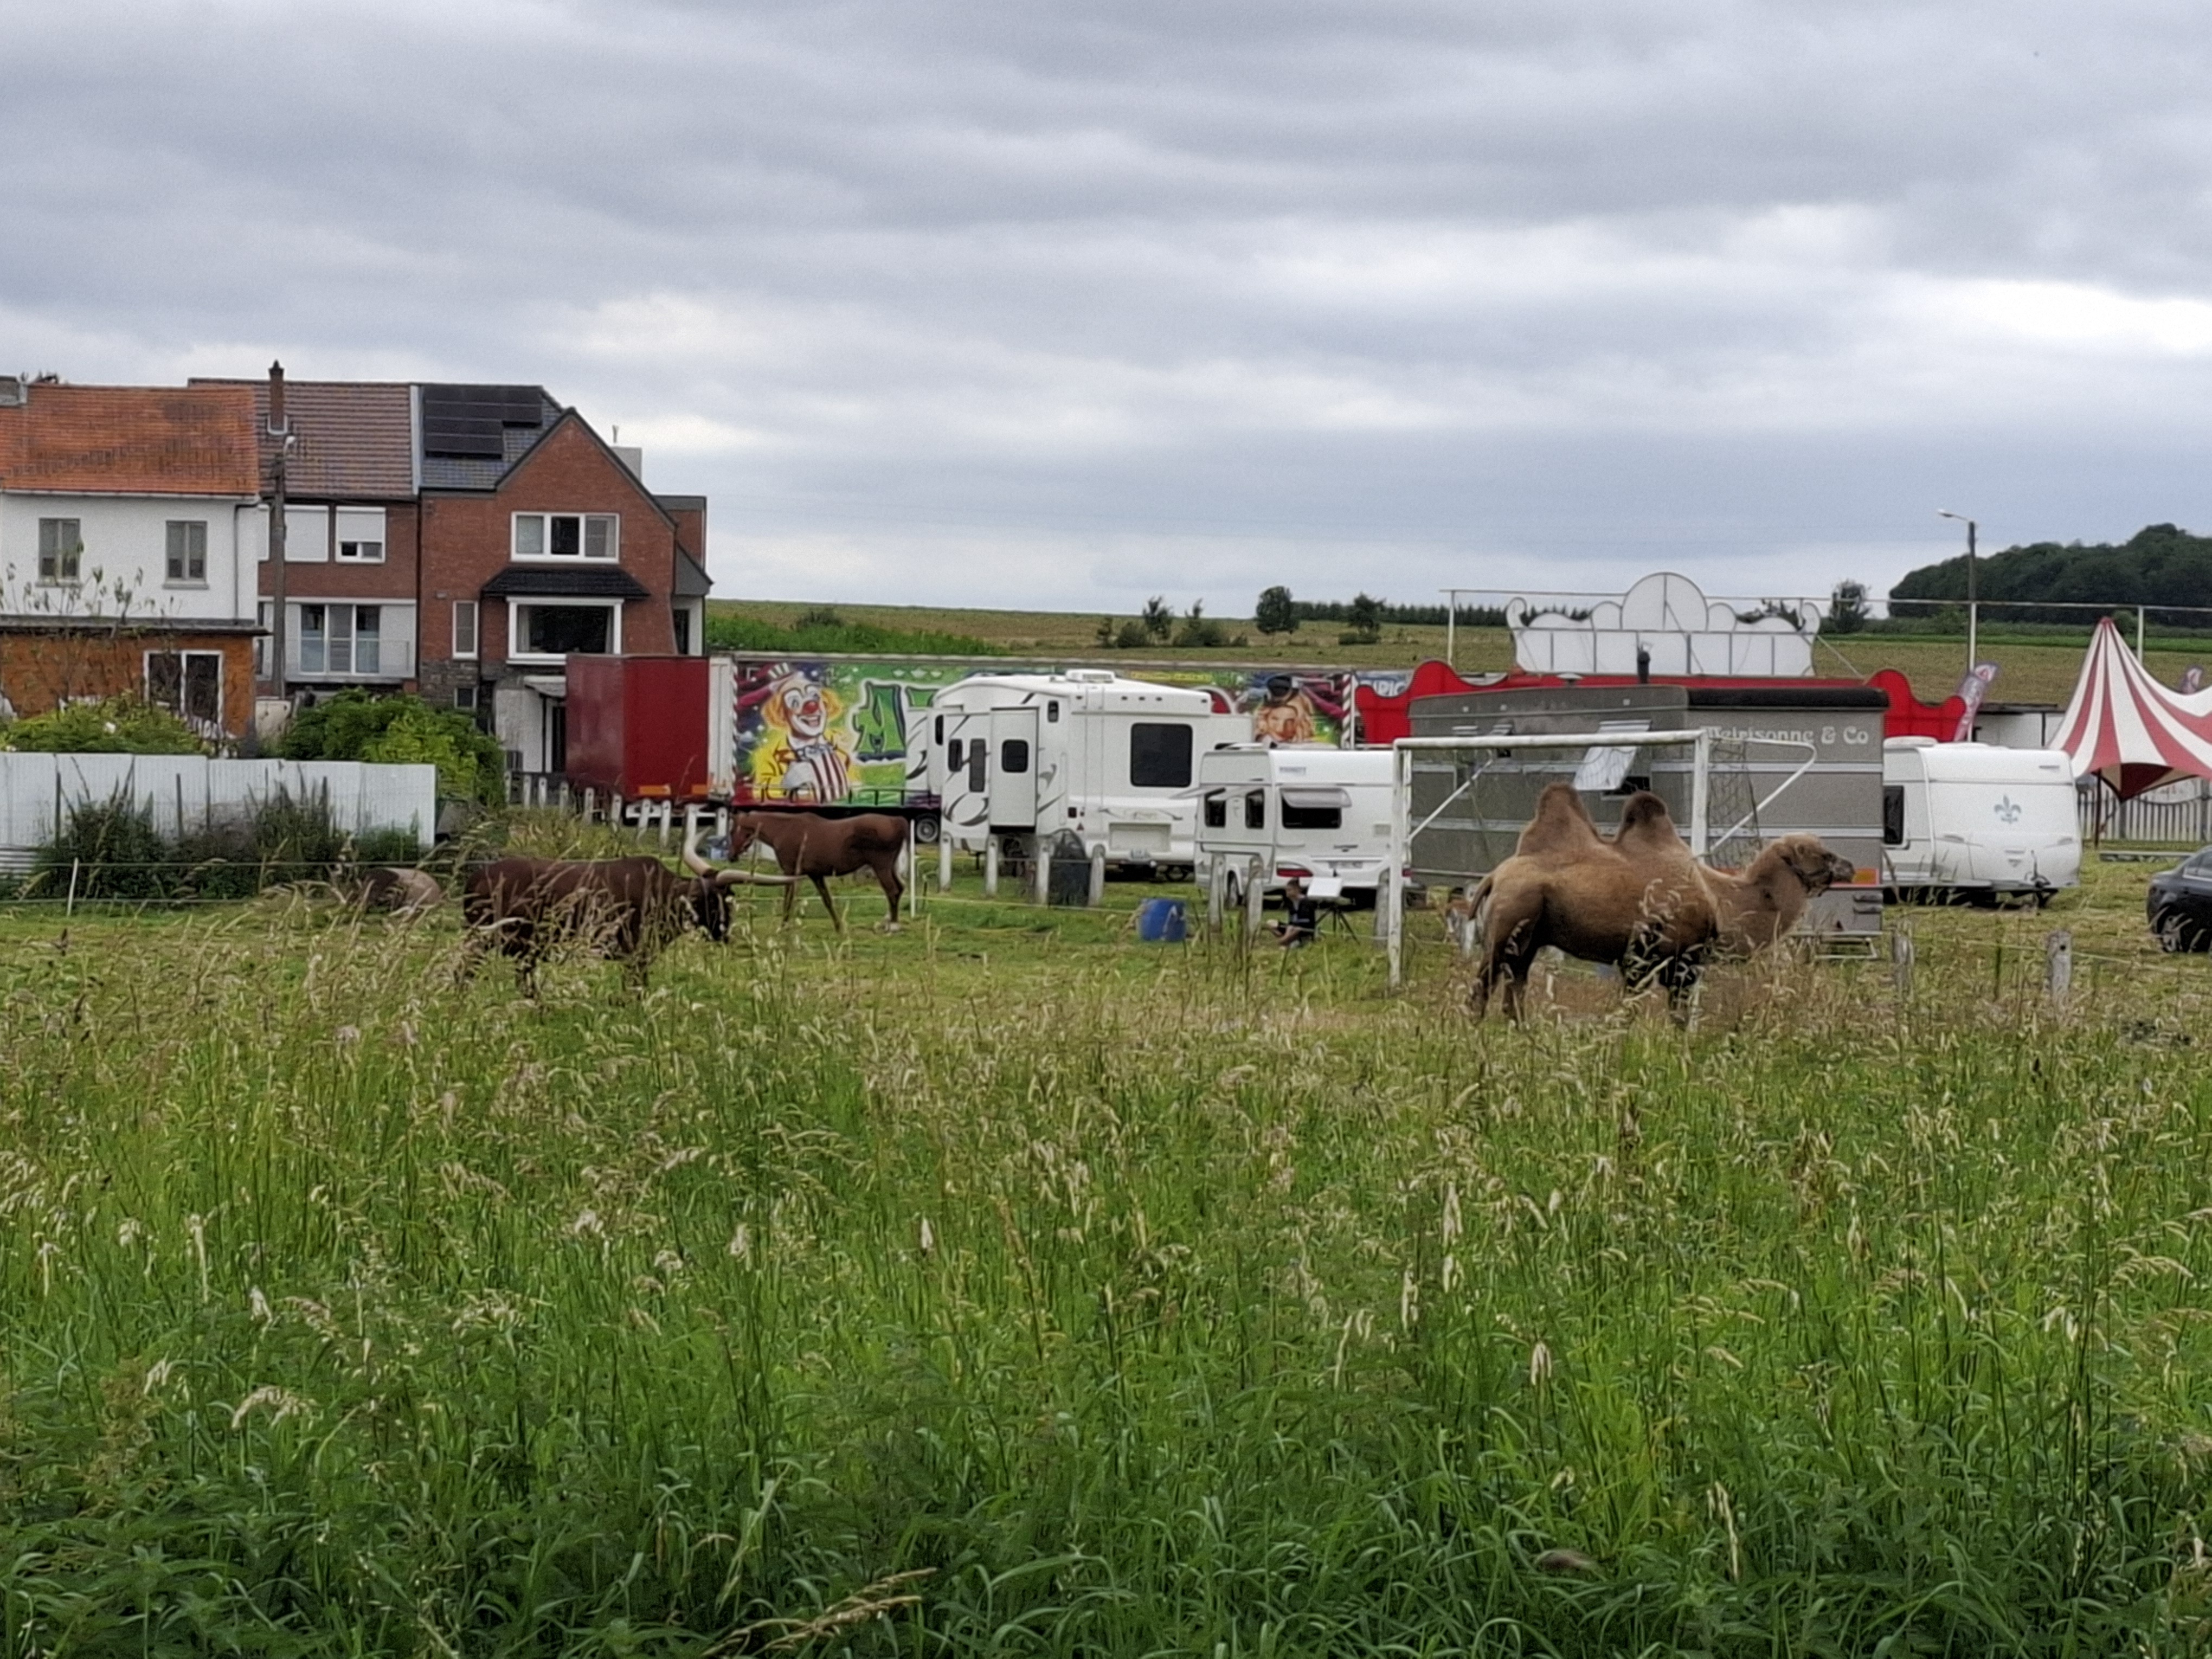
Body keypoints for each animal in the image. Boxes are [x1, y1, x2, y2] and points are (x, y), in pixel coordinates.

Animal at [730, 814, 911, 937]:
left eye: (732, 831)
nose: (731, 856)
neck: (784, 830)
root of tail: (896, 820)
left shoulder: (790, 873)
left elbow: (788, 899)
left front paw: (783, 926)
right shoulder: (816, 876)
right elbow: (828, 901)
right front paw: (839, 927)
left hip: (881, 868)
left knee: (892, 891)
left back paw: (893, 926)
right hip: (890, 868)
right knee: (899, 889)